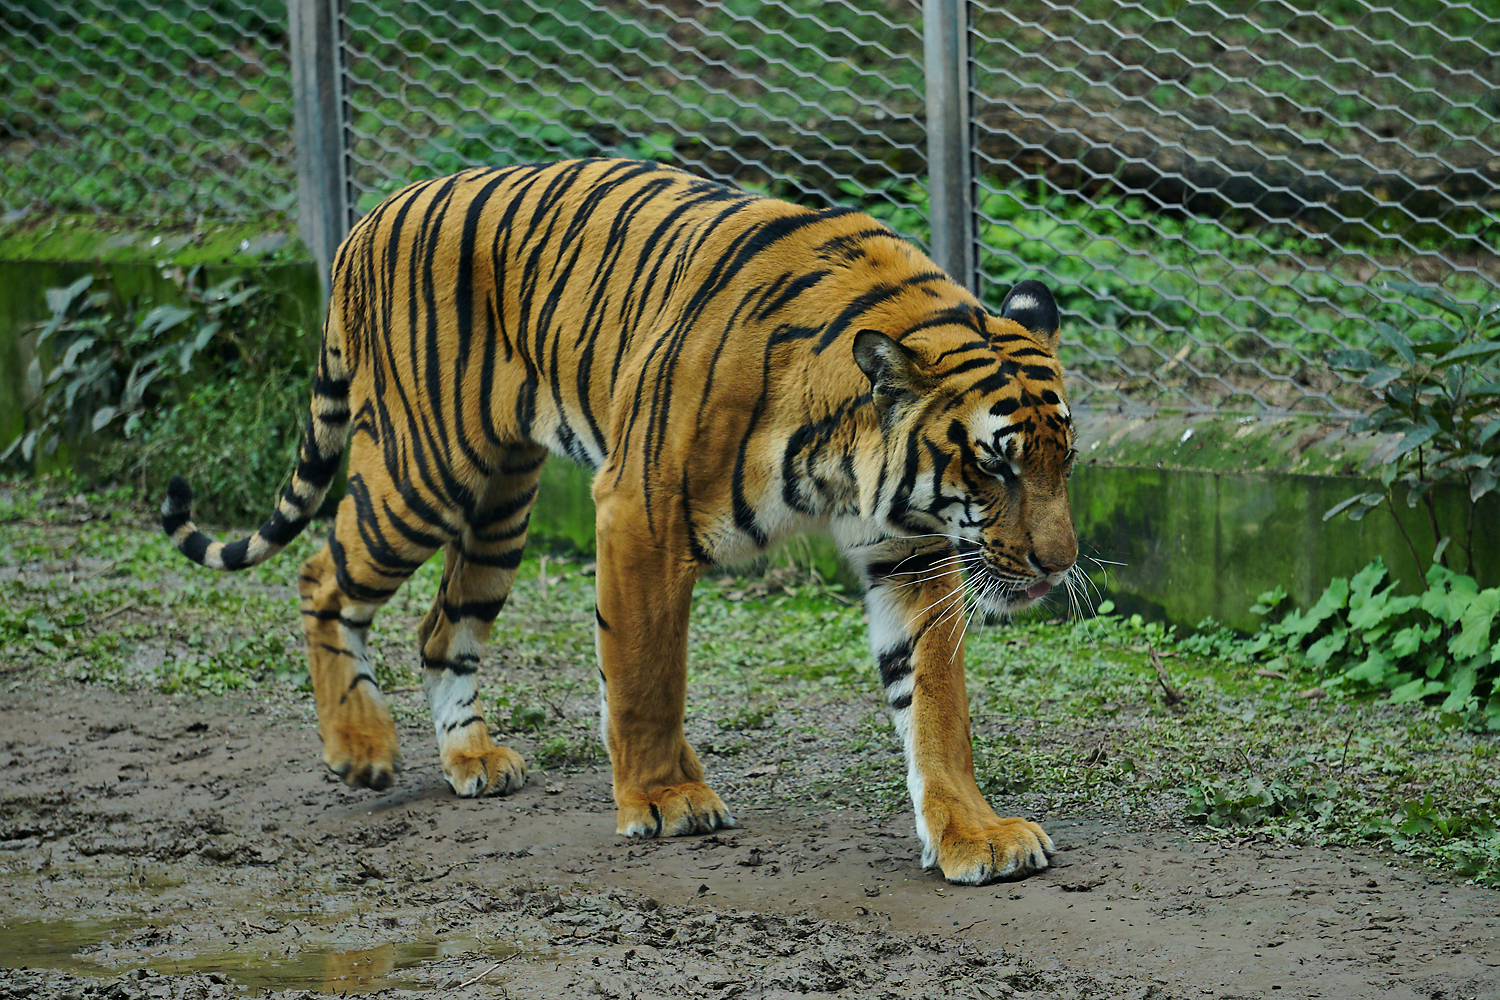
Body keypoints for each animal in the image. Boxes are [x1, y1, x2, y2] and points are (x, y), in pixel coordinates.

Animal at [160, 158, 1078, 885]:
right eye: (995, 463)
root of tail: (368, 218)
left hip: (502, 503)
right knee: (322, 576)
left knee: (440, 628)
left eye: (1064, 460)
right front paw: (665, 798)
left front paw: (975, 835)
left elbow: (935, 709)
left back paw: (471, 760)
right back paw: (359, 747)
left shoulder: (910, 554)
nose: (1058, 563)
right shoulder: (642, 511)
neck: (844, 456)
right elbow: (645, 676)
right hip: (422, 472)